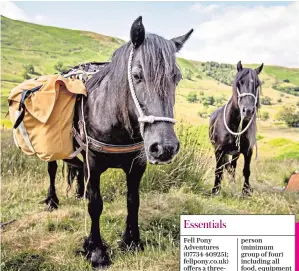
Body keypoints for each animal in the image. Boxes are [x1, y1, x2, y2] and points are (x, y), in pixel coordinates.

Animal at [46, 17, 193, 270]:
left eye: (177, 77)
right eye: (137, 76)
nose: (164, 147)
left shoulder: (137, 165)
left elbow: (133, 201)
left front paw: (131, 241)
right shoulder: (93, 164)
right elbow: (95, 204)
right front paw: (96, 250)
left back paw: (78, 194)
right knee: (52, 168)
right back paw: (51, 201)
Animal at [210, 62, 264, 196]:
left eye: (257, 84)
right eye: (240, 82)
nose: (248, 110)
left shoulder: (247, 151)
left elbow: (246, 171)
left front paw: (246, 191)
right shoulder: (219, 150)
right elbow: (219, 170)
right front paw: (215, 190)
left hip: (235, 154)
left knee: (232, 167)